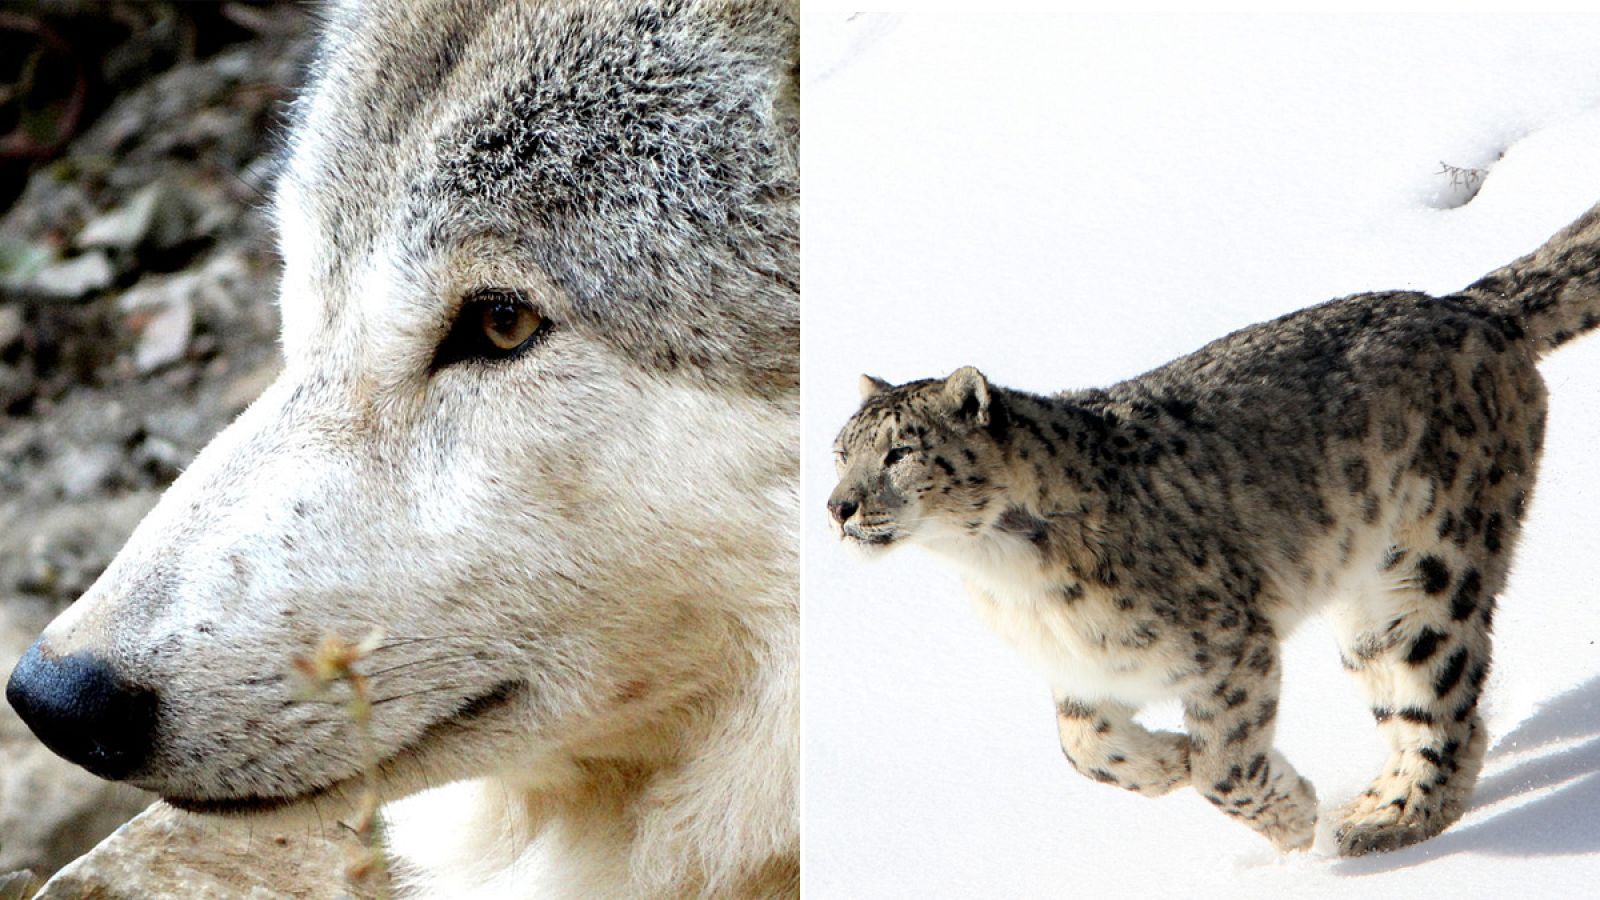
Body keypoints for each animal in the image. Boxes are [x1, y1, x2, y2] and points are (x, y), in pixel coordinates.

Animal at [826, 200, 1600, 856]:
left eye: (899, 452)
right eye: (839, 452)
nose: (838, 507)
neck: (1002, 572)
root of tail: (1469, 306)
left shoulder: (1229, 643)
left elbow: (1223, 765)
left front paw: (1289, 816)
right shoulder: (1081, 666)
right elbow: (1080, 746)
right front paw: (1166, 761)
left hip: (1432, 565)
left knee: (1441, 698)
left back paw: (1383, 822)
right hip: (1367, 606)